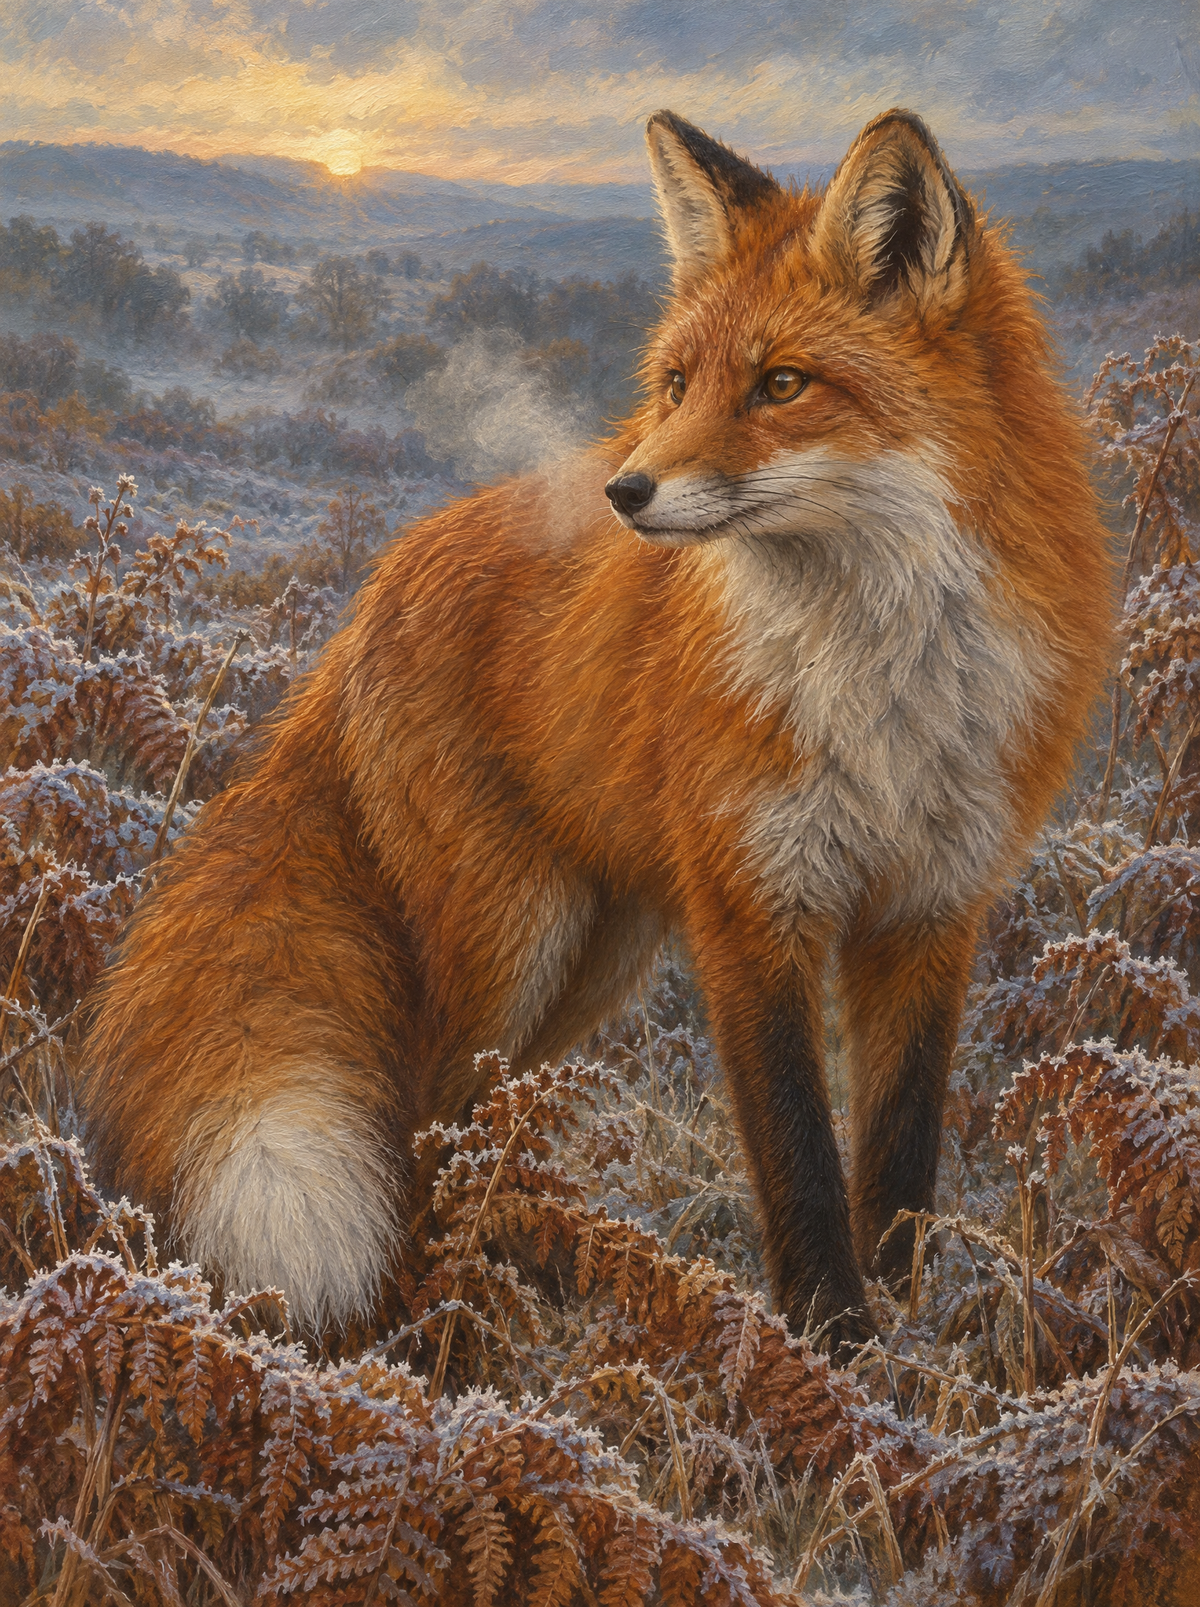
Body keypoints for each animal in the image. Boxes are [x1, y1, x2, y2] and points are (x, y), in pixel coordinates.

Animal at [83, 108, 1111, 1349]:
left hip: (593, 956)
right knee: (419, 1117)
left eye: (782, 384)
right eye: (675, 383)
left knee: (475, 1122)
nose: (626, 492)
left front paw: (909, 1348)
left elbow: (902, 1162)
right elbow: (799, 1159)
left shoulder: (931, 909)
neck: (878, 678)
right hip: (511, 942)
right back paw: (421, 1317)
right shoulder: (751, 908)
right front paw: (831, 1347)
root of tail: (380, 586)